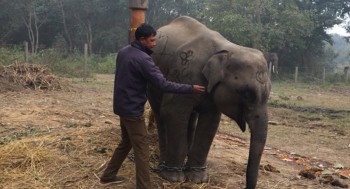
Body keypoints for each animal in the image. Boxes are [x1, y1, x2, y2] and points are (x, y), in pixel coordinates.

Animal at [148, 16, 270, 189]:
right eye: (247, 94)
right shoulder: (182, 72)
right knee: (160, 113)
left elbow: (210, 122)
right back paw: (163, 166)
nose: (245, 186)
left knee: (190, 119)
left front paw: (197, 179)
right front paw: (175, 178)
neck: (227, 48)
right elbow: (173, 112)